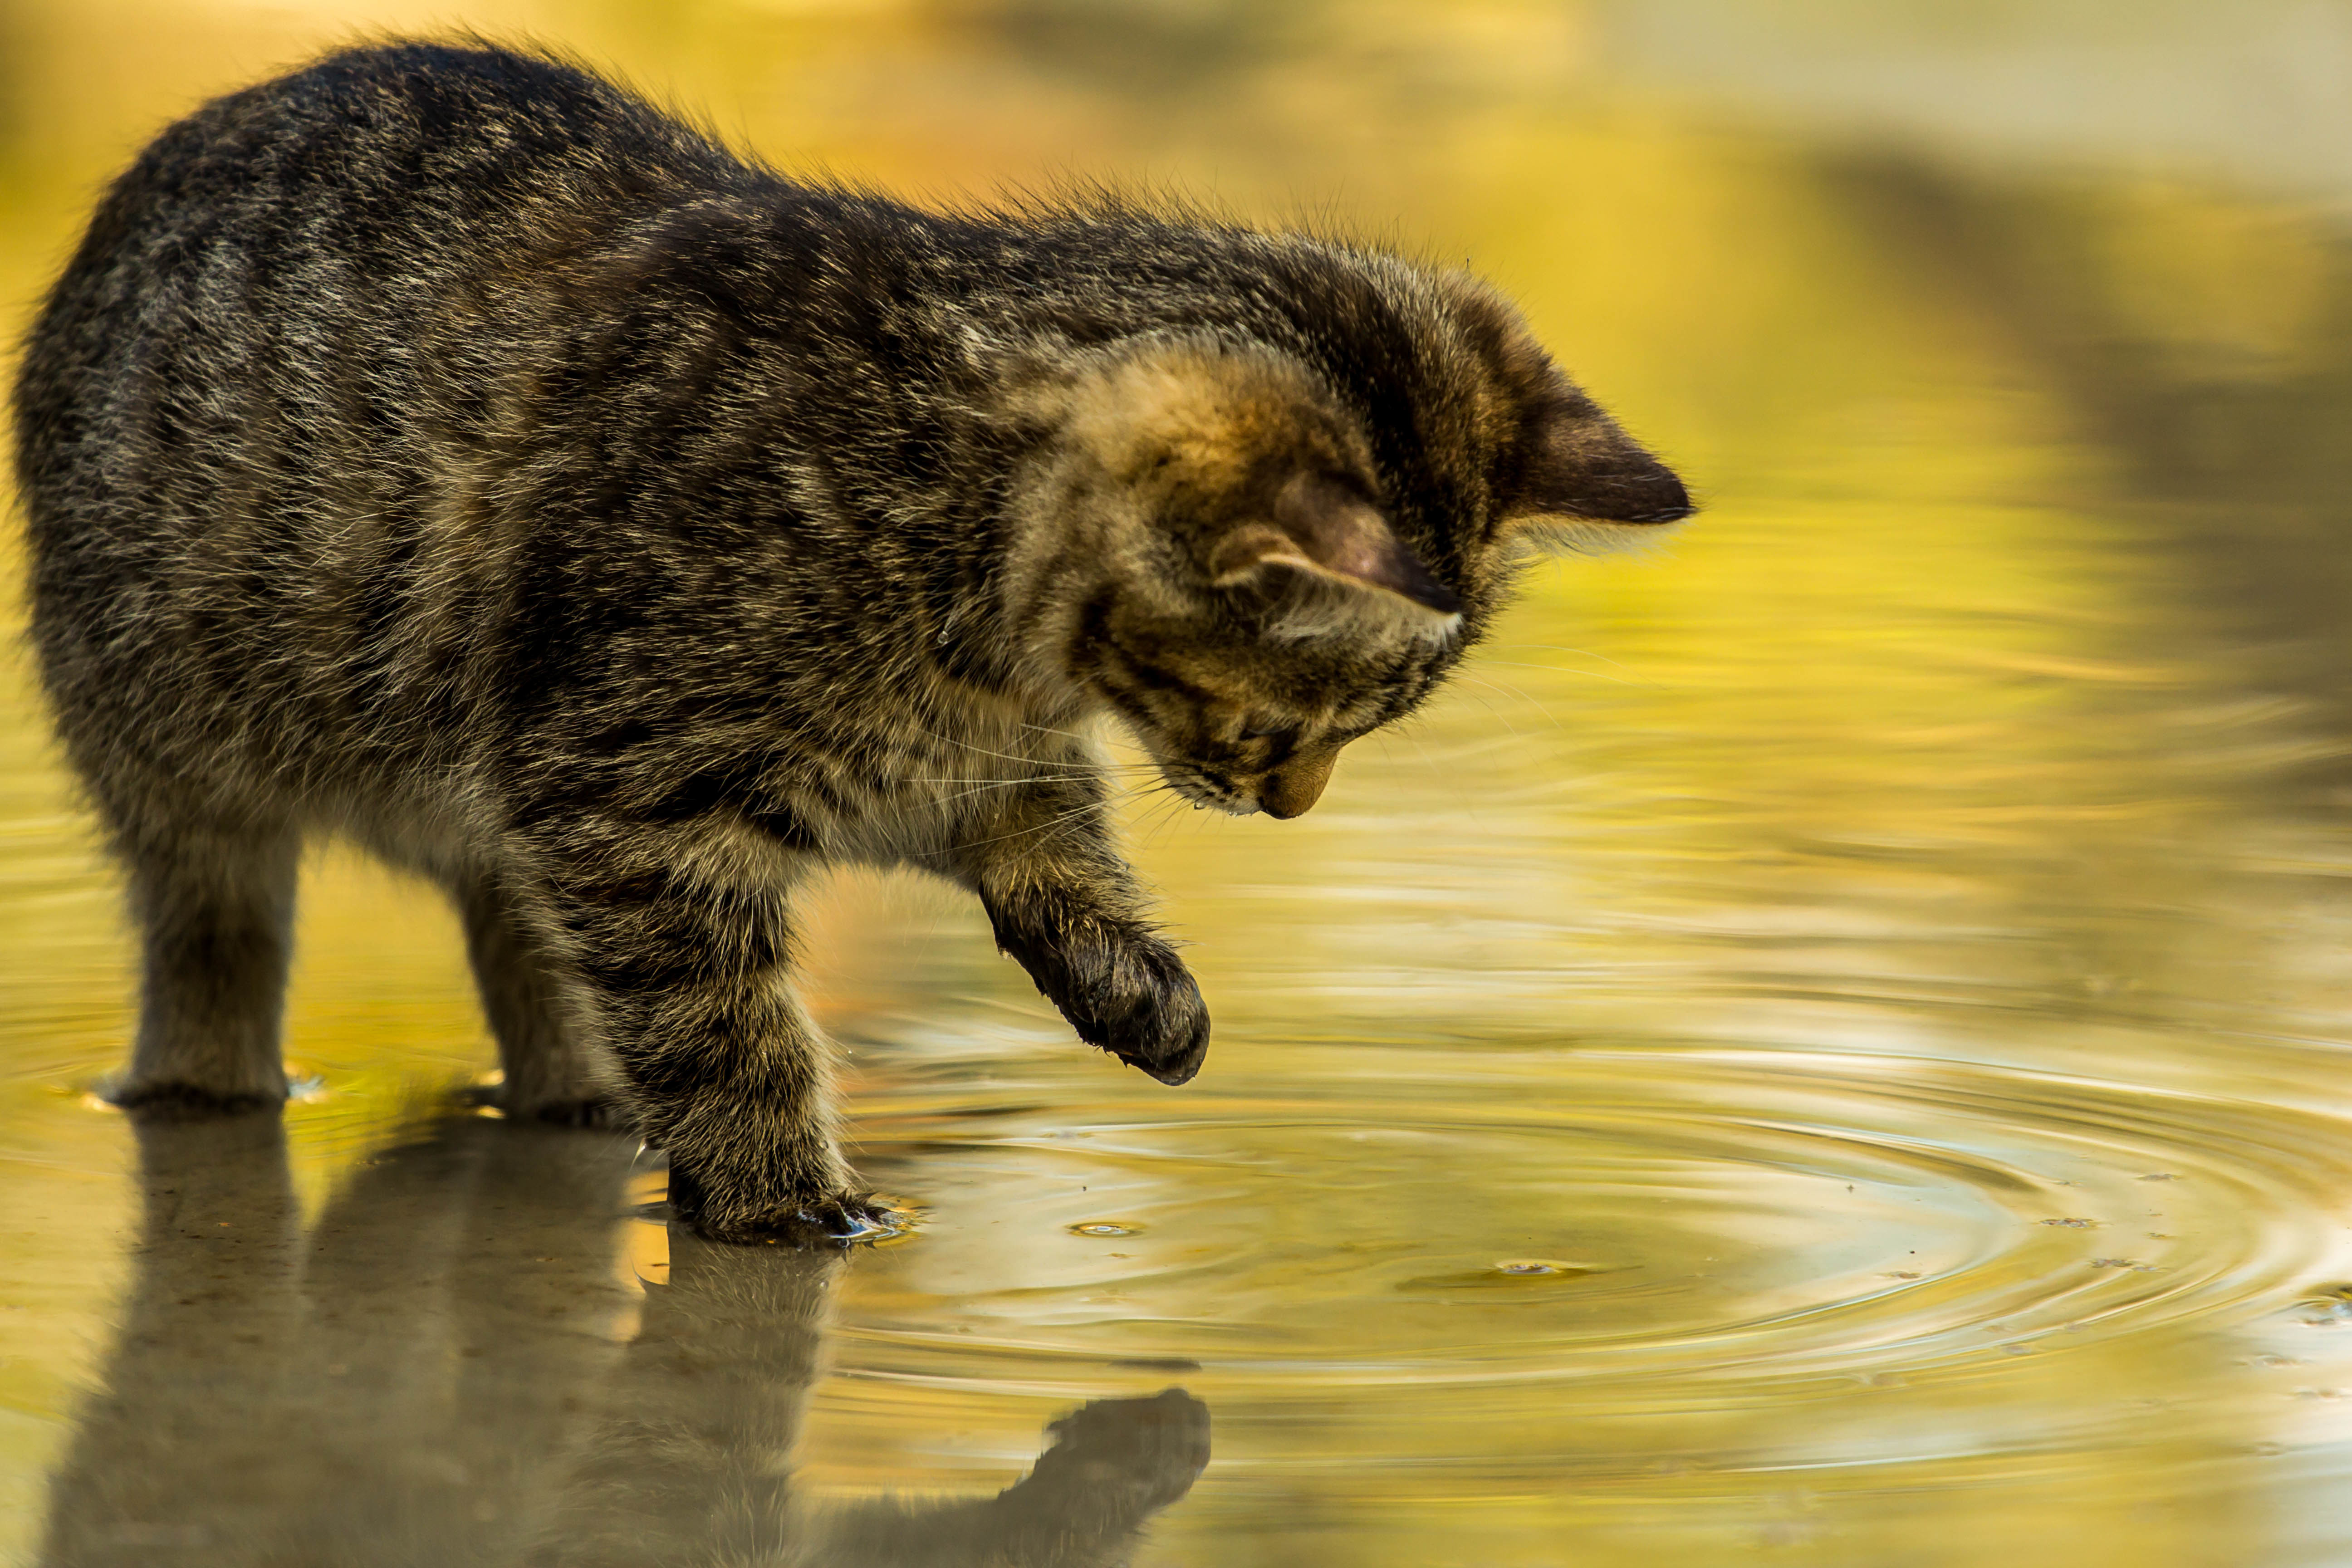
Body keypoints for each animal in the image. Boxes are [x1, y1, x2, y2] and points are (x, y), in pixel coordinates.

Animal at [9, 40, 1684, 1241]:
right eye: (1303, 720)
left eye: (1349, 731)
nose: (1293, 805)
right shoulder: (623, 803)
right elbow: (730, 1029)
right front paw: (783, 1196)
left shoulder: (960, 764)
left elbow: (1056, 846)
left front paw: (1130, 975)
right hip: (179, 759)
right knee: (220, 949)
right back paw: (219, 1077)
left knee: (525, 947)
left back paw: (583, 1096)